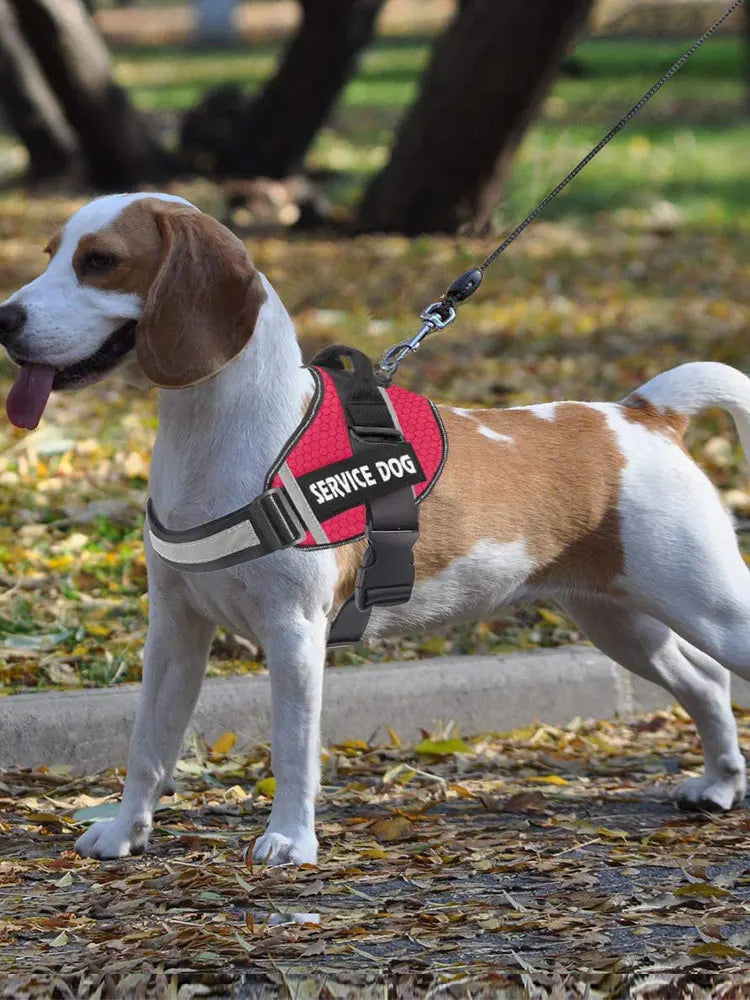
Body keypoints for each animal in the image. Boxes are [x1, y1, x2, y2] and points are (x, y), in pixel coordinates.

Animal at [0, 191, 748, 864]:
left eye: (100, 261)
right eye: (50, 254)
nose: (4, 318)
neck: (218, 435)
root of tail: (640, 414)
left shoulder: (295, 635)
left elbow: (293, 749)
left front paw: (290, 841)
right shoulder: (175, 631)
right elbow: (149, 745)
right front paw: (123, 833)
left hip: (709, 608)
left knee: (715, 672)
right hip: (621, 624)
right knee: (706, 683)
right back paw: (718, 785)